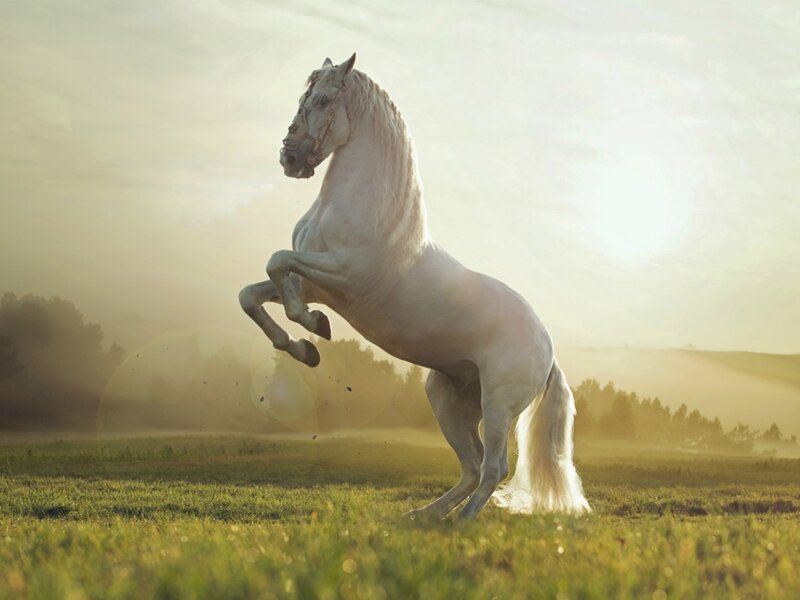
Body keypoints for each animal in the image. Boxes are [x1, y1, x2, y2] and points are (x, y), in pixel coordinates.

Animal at [239, 54, 590, 519]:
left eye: (323, 100)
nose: (290, 159)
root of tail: (547, 349)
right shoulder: (315, 283)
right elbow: (253, 293)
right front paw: (303, 347)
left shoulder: (342, 276)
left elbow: (277, 262)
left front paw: (313, 328)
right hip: (447, 399)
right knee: (472, 466)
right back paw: (423, 517)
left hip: (498, 405)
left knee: (494, 467)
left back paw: (461, 523)